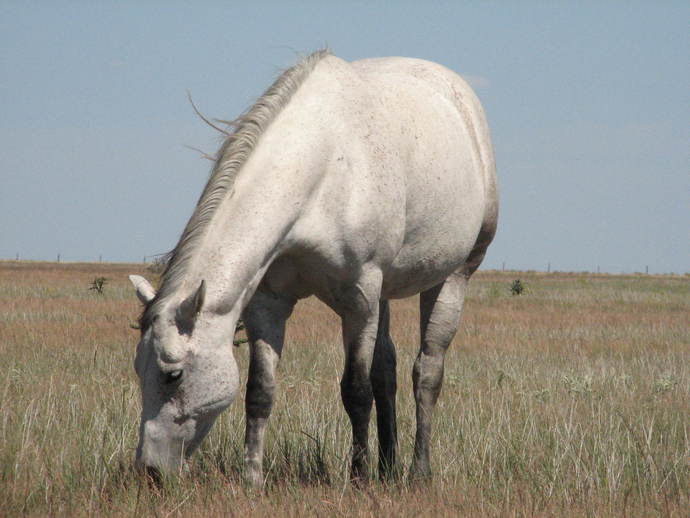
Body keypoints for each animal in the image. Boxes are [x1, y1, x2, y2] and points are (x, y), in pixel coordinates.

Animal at [129, 49, 498, 486]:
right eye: (138, 368)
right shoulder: (268, 303)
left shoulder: (358, 300)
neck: (324, 168)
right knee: (386, 371)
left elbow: (356, 391)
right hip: (384, 294)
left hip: (452, 278)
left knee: (426, 373)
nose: (149, 471)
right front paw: (252, 479)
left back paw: (417, 471)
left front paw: (358, 478)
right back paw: (388, 466)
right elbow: (260, 390)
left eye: (174, 374)